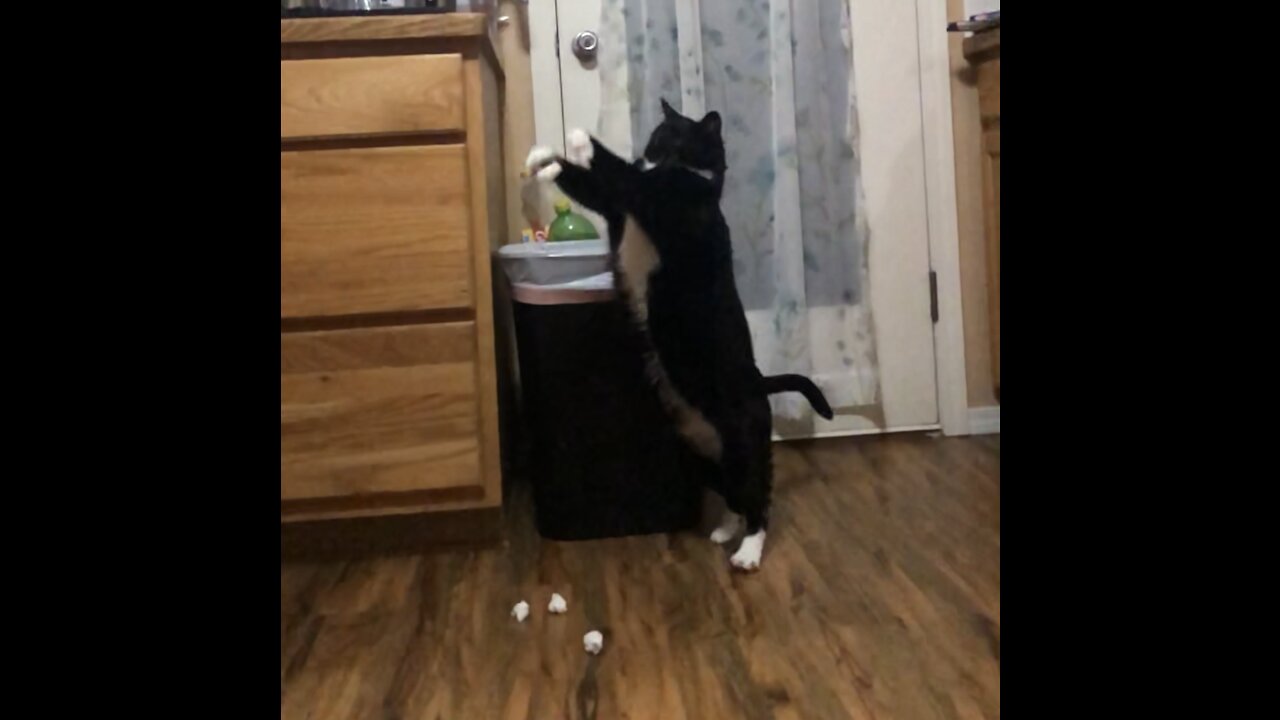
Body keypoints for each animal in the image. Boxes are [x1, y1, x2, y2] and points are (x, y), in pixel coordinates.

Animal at [524, 102, 834, 571]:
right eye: (655, 138)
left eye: (673, 139)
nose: (646, 155)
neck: (684, 175)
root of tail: (759, 382)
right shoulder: (618, 206)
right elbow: (593, 184)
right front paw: (545, 159)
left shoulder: (654, 199)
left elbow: (617, 172)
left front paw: (579, 140)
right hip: (699, 450)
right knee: (732, 489)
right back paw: (724, 528)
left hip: (744, 440)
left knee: (759, 494)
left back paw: (748, 551)